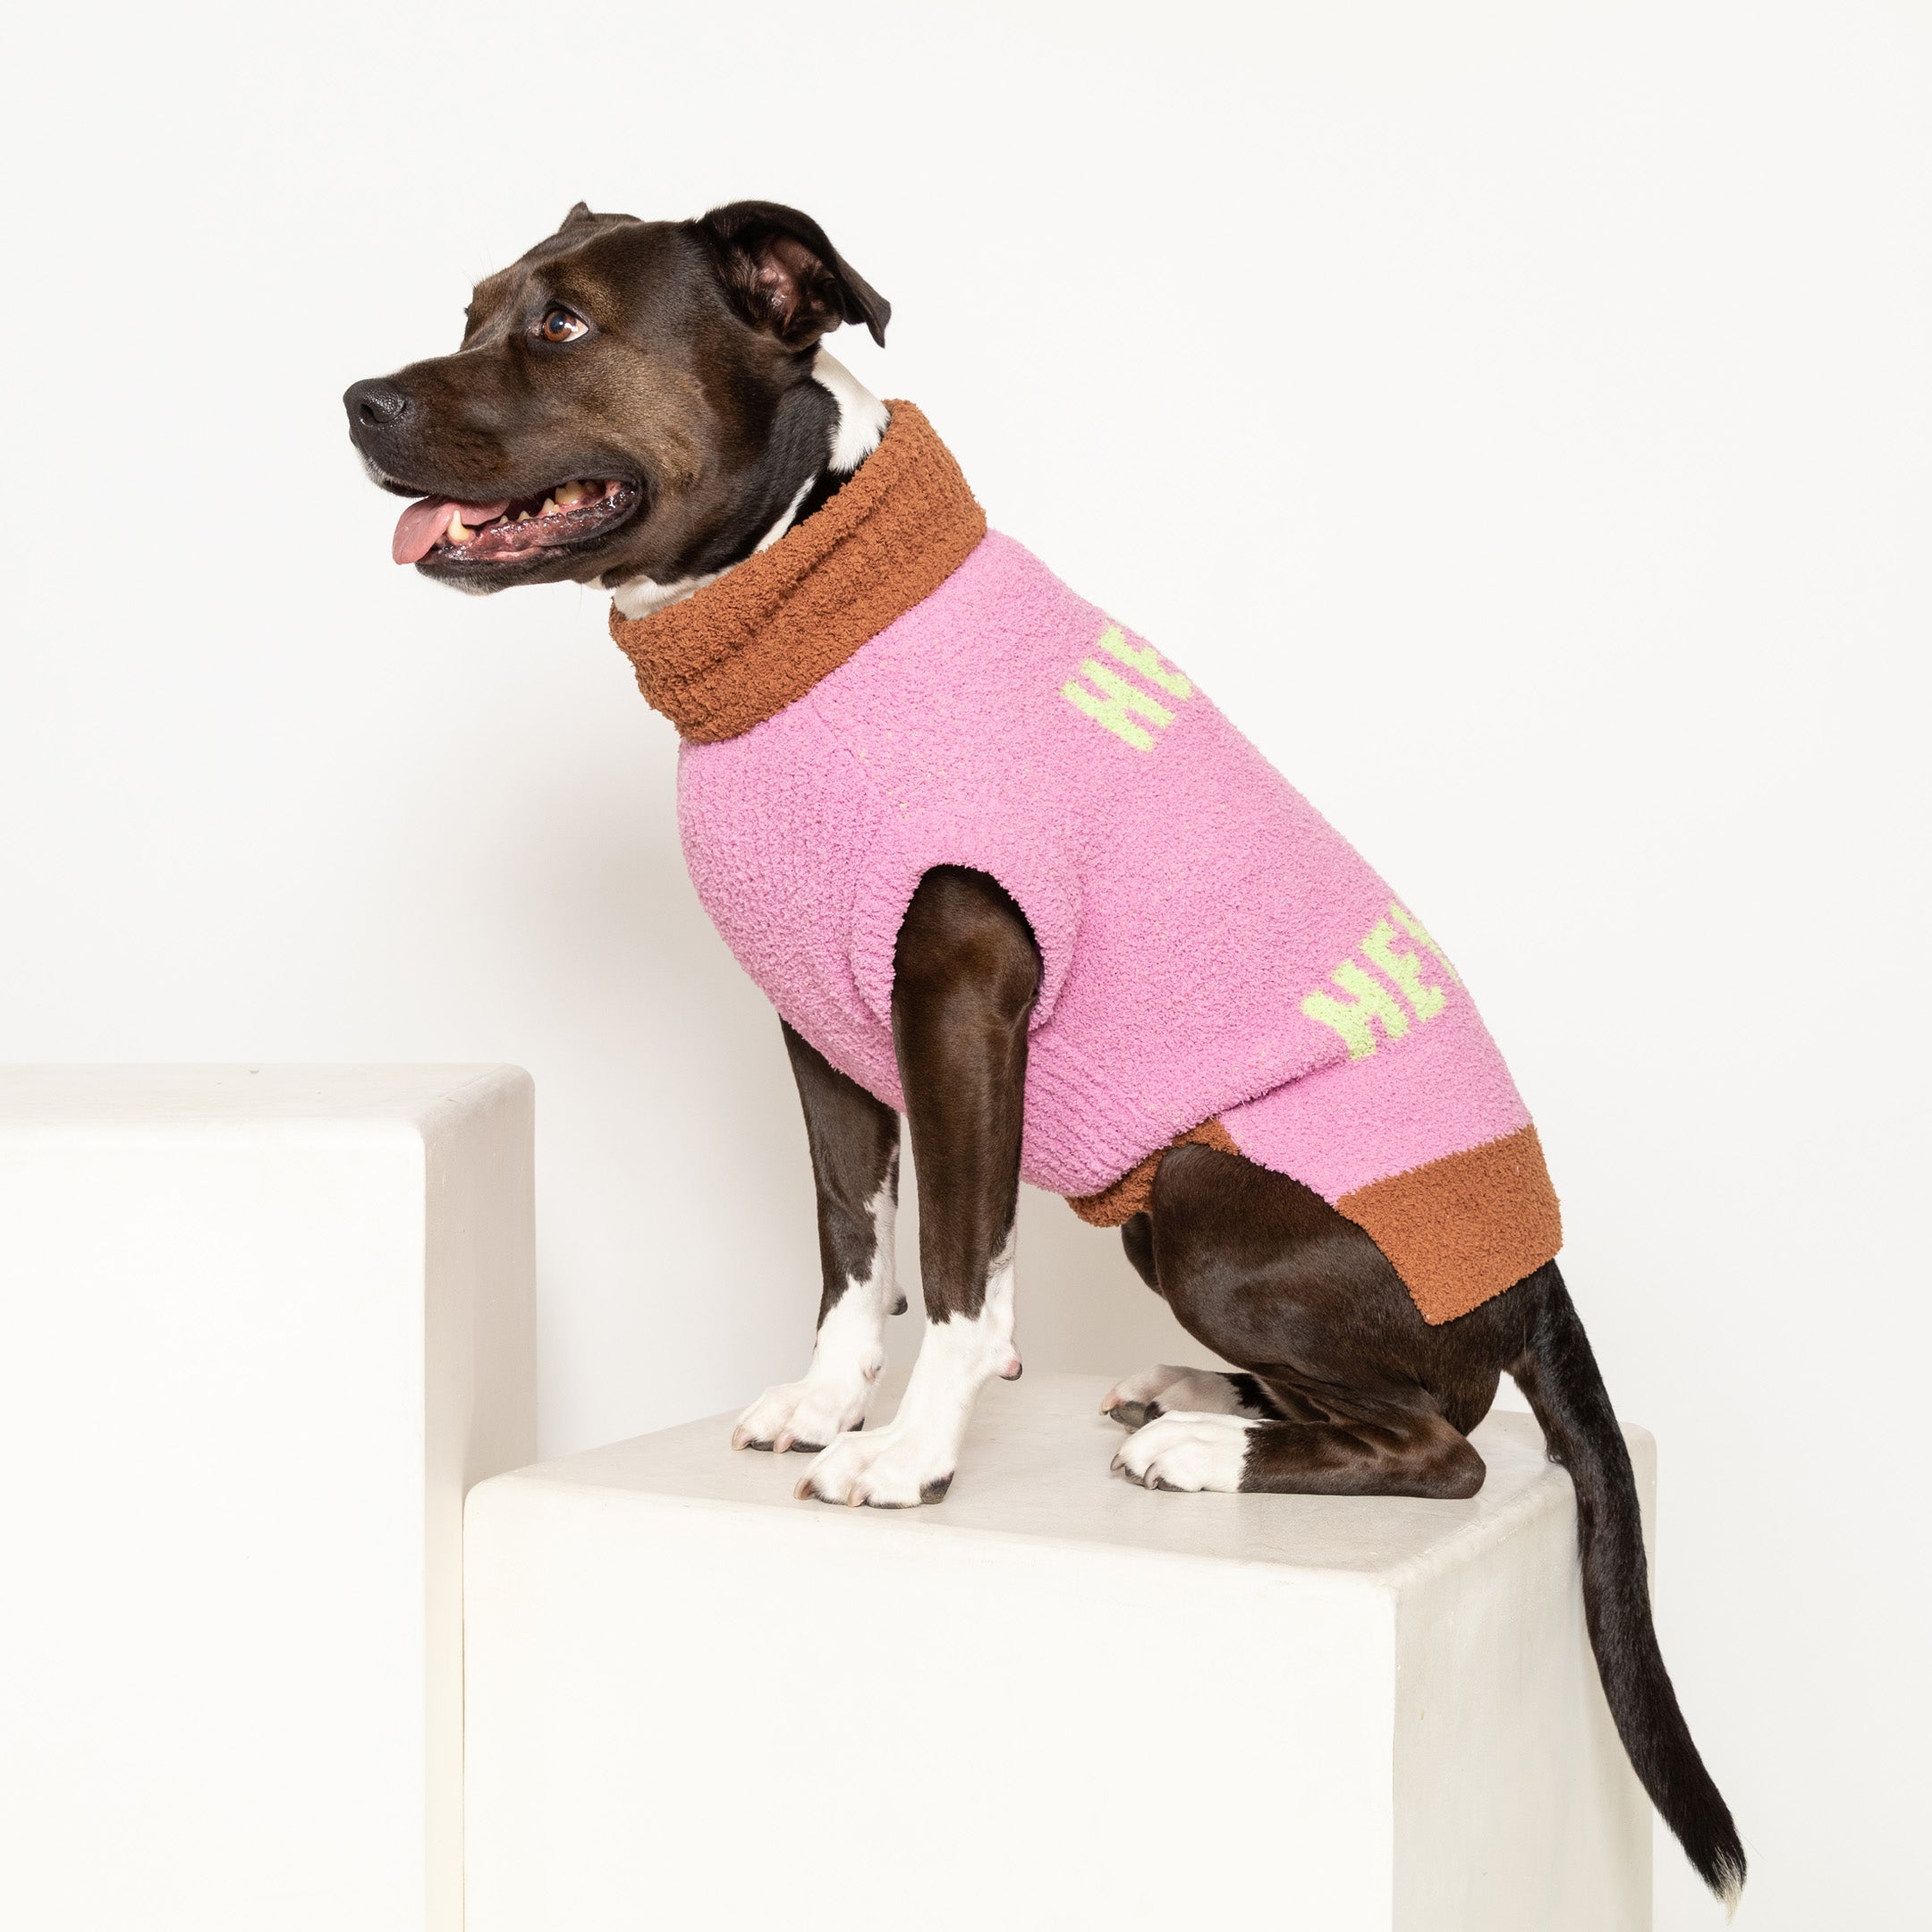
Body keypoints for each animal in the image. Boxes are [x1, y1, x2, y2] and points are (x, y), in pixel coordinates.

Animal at [347, 199, 1754, 1901]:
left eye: (561, 326)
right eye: (472, 310)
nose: (357, 402)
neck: (797, 590)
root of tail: (1537, 1274)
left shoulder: (956, 995)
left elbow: (957, 1257)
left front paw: (908, 1452)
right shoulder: (821, 1024)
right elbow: (853, 1239)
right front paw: (828, 1399)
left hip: (1206, 1202)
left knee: (1451, 1441)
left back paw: (1209, 1451)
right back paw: (1199, 1395)